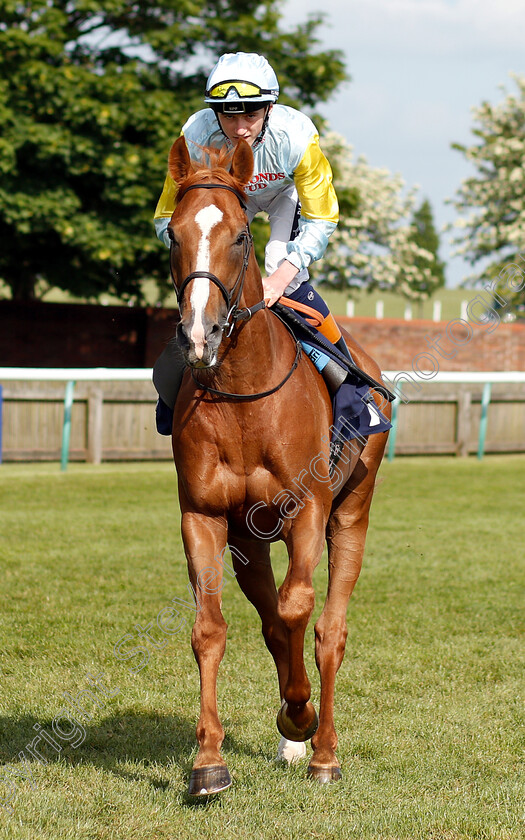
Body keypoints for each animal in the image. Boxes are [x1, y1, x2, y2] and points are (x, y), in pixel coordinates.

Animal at [165, 136, 388, 796]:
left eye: (240, 235)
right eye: (172, 234)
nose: (200, 332)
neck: (244, 396)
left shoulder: (307, 509)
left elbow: (298, 608)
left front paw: (300, 713)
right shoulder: (204, 514)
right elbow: (211, 628)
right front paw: (208, 762)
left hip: (352, 513)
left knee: (327, 629)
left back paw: (322, 749)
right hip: (249, 537)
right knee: (270, 622)